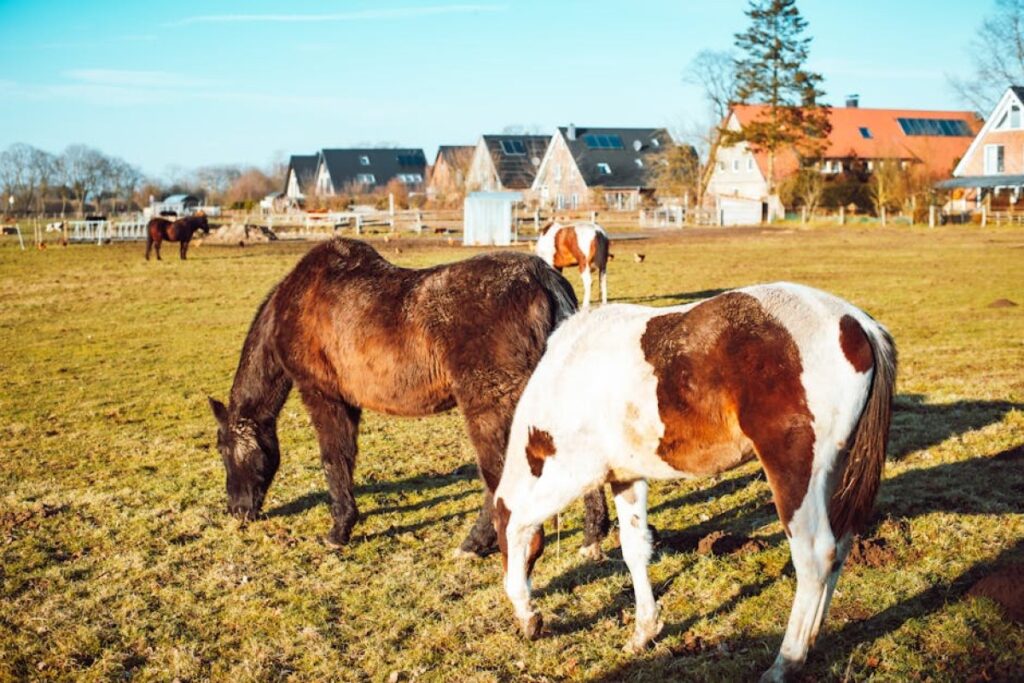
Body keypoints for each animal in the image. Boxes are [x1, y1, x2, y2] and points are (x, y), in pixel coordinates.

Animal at [208, 238, 611, 558]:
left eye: (224, 450)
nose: (236, 511)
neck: (299, 300)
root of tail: (544, 279)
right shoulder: (347, 404)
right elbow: (345, 459)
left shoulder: (323, 397)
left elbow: (333, 460)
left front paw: (338, 531)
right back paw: (592, 537)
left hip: (491, 410)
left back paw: (477, 544)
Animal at [492, 282, 896, 682]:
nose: (527, 628)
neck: (566, 376)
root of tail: (857, 323)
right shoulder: (627, 477)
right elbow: (635, 549)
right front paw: (644, 633)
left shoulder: (574, 472)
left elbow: (519, 523)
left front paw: (527, 613)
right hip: (834, 471)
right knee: (840, 548)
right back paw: (810, 644)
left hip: (793, 471)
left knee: (815, 556)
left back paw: (786, 660)